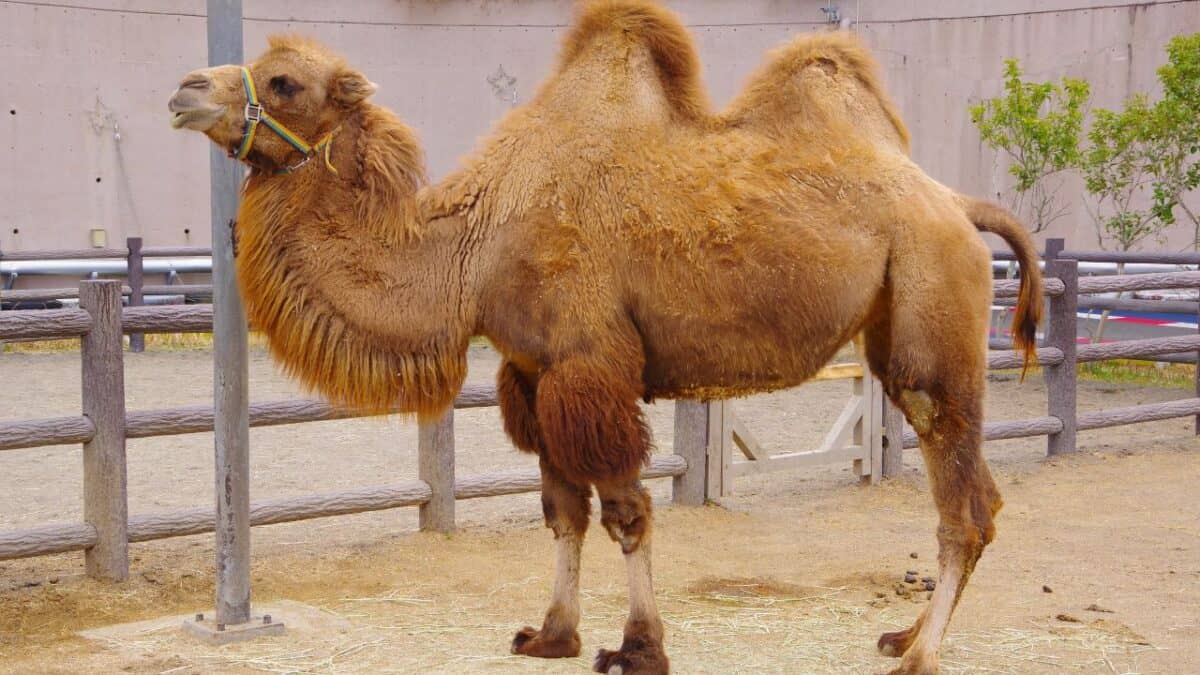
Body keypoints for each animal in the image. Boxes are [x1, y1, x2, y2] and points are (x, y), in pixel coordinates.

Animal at [167, 2, 1043, 673]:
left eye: (285, 81)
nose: (184, 89)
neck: (474, 247)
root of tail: (958, 202)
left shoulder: (592, 365)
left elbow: (627, 511)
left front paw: (638, 647)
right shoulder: (535, 372)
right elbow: (562, 510)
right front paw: (551, 634)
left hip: (933, 316)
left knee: (966, 499)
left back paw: (920, 653)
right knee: (974, 493)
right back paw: (903, 631)